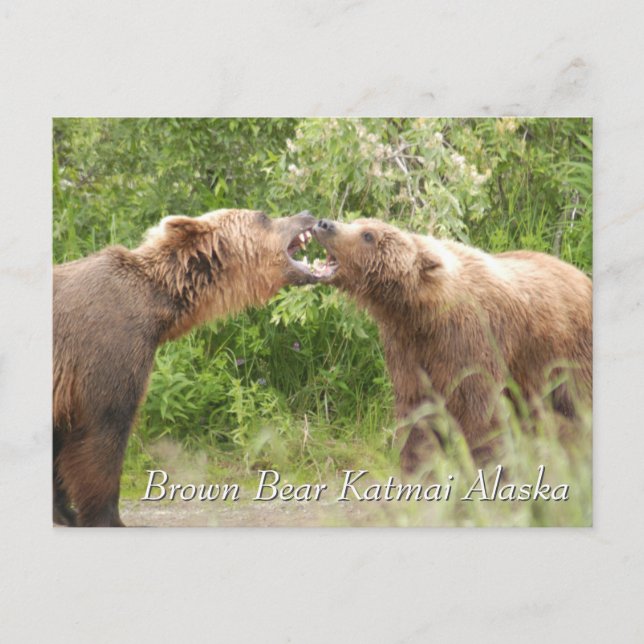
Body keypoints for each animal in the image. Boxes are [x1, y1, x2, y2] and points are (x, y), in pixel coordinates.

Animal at [53, 208, 317, 526]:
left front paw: (65, 512)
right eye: (263, 216)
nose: (307, 214)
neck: (158, 304)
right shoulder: (105, 348)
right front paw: (106, 517)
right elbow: (102, 434)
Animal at [311, 217, 592, 475]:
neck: (424, 314)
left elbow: (480, 414)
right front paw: (419, 469)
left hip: (567, 353)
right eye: (357, 222)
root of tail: (582, 275)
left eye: (368, 234)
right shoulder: (407, 350)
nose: (324, 223)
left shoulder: (470, 344)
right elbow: (418, 417)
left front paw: (487, 467)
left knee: (578, 405)